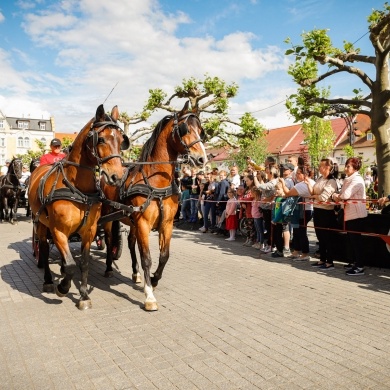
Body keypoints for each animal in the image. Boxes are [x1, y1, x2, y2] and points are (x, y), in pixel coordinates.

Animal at [29, 104, 129, 310]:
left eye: (121, 140)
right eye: (101, 139)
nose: (116, 177)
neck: (77, 188)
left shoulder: (88, 230)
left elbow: (83, 263)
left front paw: (83, 295)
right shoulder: (58, 230)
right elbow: (71, 265)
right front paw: (63, 287)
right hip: (40, 223)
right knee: (43, 247)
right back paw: (49, 281)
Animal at [103, 100, 207, 310]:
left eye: (200, 130)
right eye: (185, 129)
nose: (202, 158)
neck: (156, 183)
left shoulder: (166, 223)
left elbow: (164, 255)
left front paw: (154, 279)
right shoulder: (143, 223)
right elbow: (147, 258)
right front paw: (149, 295)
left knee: (130, 243)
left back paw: (135, 274)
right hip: (109, 216)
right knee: (110, 241)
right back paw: (109, 267)